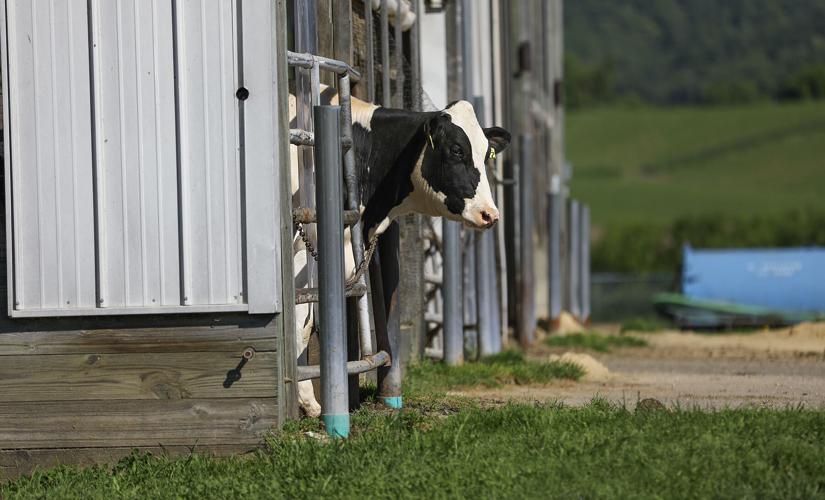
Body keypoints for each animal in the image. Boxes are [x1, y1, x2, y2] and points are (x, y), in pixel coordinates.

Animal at [290, 87, 511, 416]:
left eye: (486, 155)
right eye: (456, 150)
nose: (490, 214)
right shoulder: (298, 246)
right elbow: (300, 319)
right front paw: (307, 402)